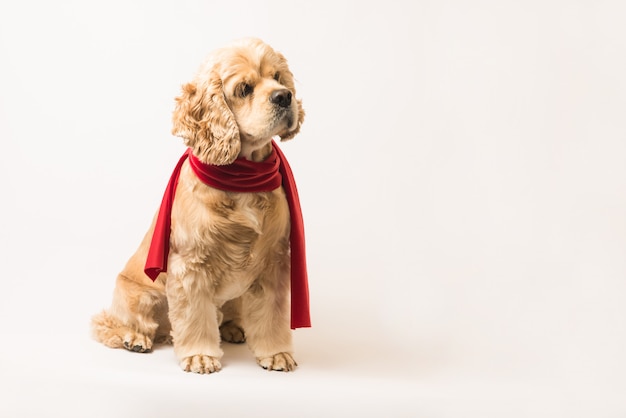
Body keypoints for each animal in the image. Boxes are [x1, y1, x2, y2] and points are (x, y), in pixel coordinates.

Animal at [90, 37, 310, 374]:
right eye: (244, 88)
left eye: (278, 78)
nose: (285, 97)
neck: (242, 177)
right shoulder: (191, 264)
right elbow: (195, 316)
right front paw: (200, 355)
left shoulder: (273, 261)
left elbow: (271, 315)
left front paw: (276, 353)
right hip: (137, 295)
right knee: (109, 324)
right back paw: (135, 337)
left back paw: (233, 328)